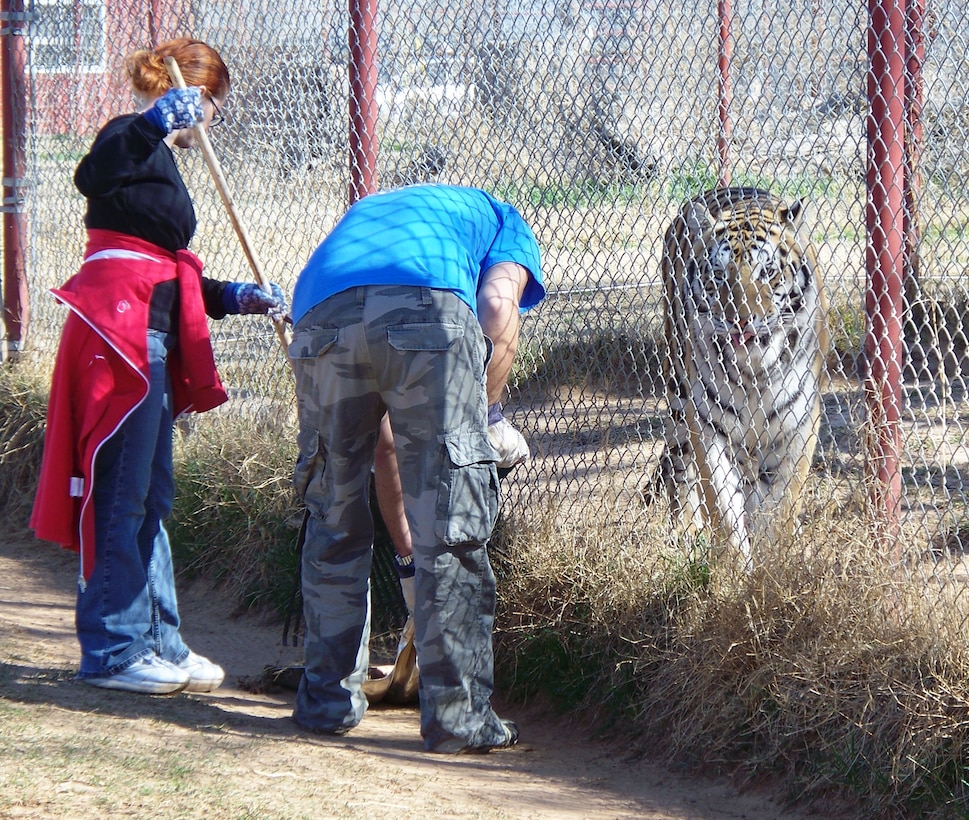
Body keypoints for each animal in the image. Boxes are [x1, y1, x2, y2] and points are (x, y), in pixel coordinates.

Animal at [649, 187, 829, 565]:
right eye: (719, 275)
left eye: (768, 271)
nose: (740, 320)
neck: (754, 372)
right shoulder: (706, 423)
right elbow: (722, 504)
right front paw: (735, 566)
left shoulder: (800, 422)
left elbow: (782, 502)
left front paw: (772, 561)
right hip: (678, 397)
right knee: (680, 468)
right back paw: (686, 530)